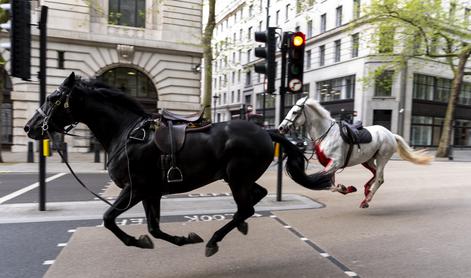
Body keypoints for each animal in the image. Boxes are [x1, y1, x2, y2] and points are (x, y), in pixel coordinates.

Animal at [24, 72, 330, 256]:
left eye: (52, 98)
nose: (30, 127)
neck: (126, 133)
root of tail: (266, 131)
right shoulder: (151, 192)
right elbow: (154, 229)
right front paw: (181, 239)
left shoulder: (135, 189)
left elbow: (109, 219)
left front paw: (137, 241)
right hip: (239, 178)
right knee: (255, 198)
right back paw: (238, 226)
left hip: (236, 178)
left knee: (246, 207)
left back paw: (215, 239)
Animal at [278, 96, 434, 207]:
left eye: (295, 112)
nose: (281, 128)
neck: (327, 134)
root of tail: (390, 134)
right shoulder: (330, 165)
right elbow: (330, 185)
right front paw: (346, 188)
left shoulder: (335, 163)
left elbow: (326, 184)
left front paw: (346, 188)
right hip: (367, 160)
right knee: (375, 174)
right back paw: (366, 191)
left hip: (382, 158)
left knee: (379, 178)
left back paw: (367, 200)